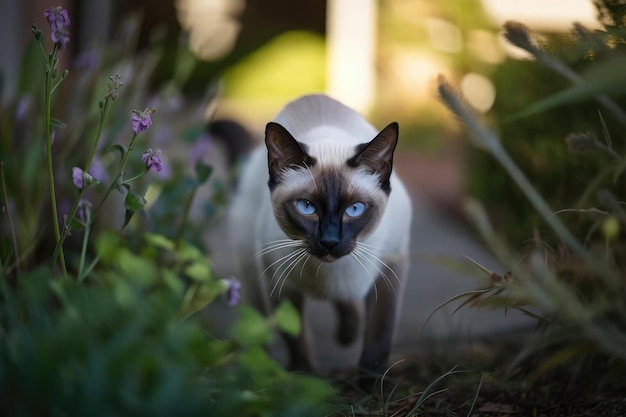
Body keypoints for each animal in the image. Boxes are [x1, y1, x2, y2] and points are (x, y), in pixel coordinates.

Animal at [229, 93, 410, 370]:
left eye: (354, 209)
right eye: (306, 207)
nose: (330, 241)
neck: (329, 274)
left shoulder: (391, 265)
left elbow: (379, 335)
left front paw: (370, 376)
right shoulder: (278, 281)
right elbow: (295, 336)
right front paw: (303, 374)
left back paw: (347, 335)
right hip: (251, 271)